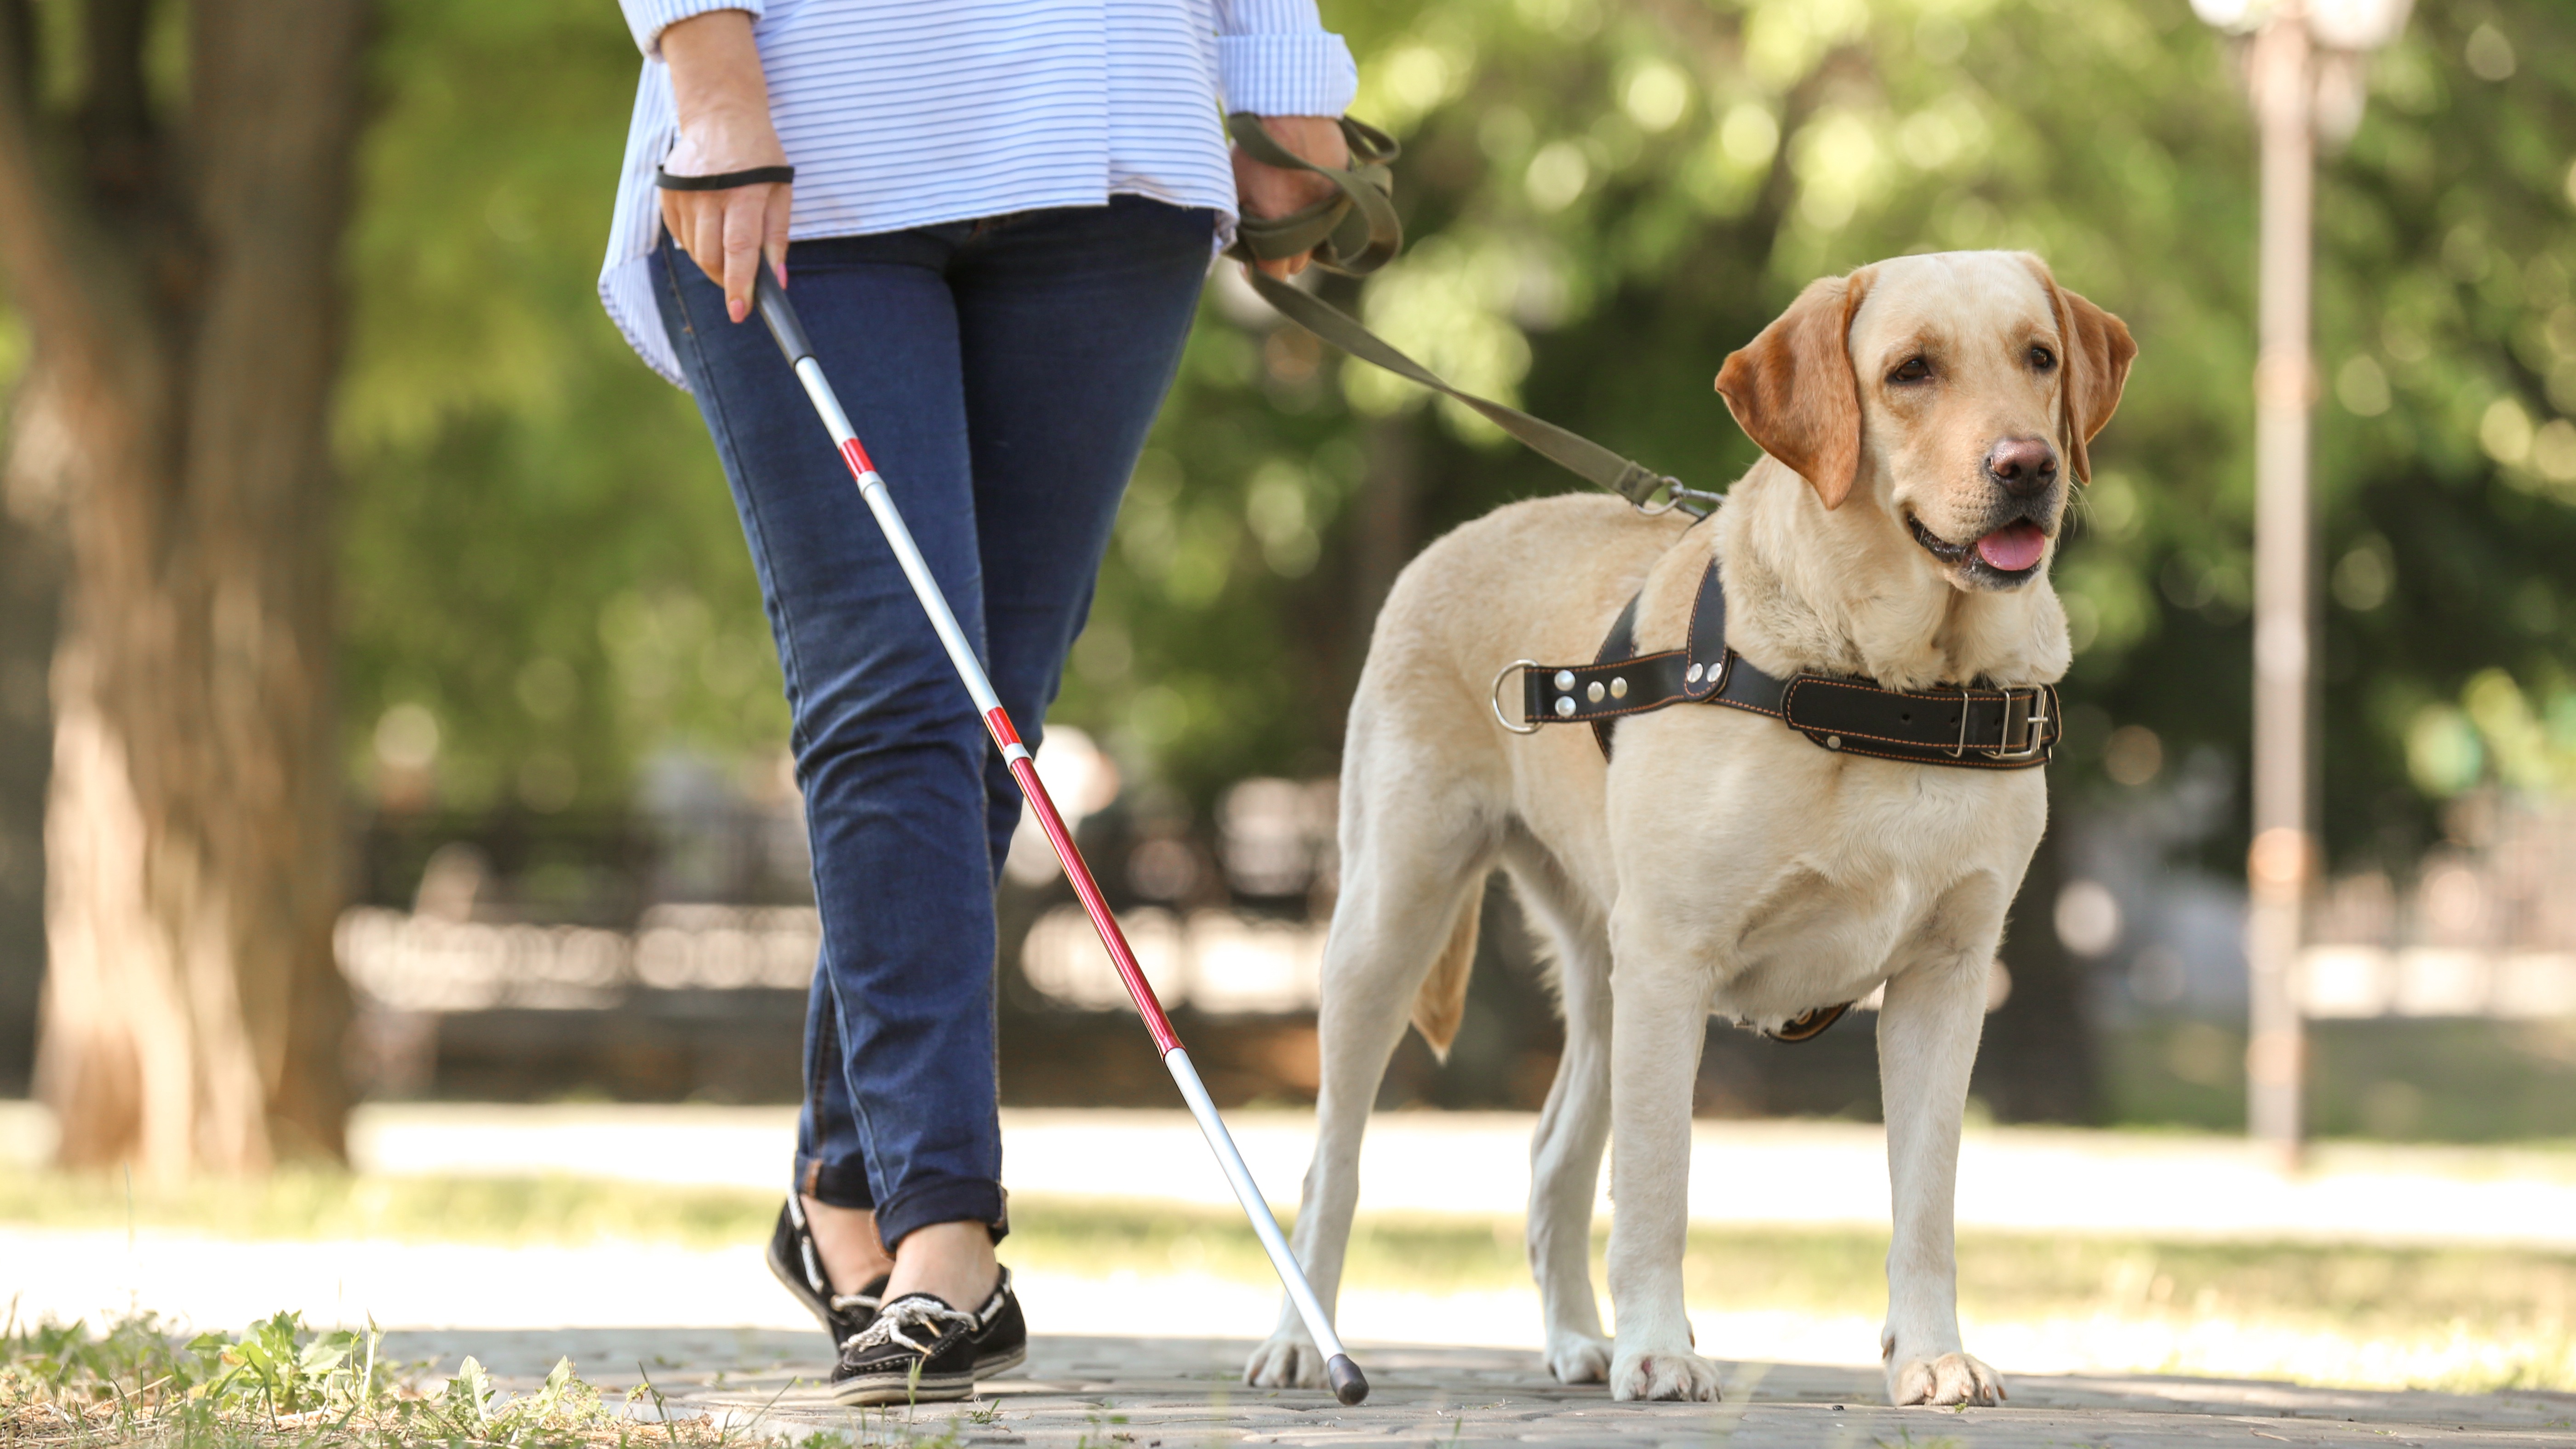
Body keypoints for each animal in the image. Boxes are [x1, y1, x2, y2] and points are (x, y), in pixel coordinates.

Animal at [1242, 247, 2133, 1403]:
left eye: (2038, 357)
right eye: (1910, 371)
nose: (2028, 464)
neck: (1883, 690)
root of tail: (1466, 532)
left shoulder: (1947, 975)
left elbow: (1925, 1199)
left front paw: (1929, 1355)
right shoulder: (1675, 956)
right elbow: (1659, 1180)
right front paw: (1661, 1348)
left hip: (1601, 974)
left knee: (1550, 1156)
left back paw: (1577, 1341)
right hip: (1392, 919)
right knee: (1332, 1162)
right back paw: (1305, 1343)